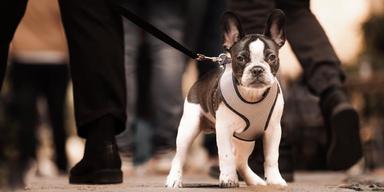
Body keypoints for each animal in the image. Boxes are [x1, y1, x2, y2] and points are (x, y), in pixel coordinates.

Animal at [166, 9, 288, 188]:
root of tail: (202, 78)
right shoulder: (223, 129)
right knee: (179, 156)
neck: (252, 95)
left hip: (246, 139)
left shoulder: (273, 130)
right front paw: (229, 179)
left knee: (241, 161)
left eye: (272, 57)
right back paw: (174, 179)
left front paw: (275, 180)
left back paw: (254, 181)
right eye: (241, 58)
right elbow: (226, 155)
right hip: (188, 127)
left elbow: (272, 156)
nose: (257, 69)